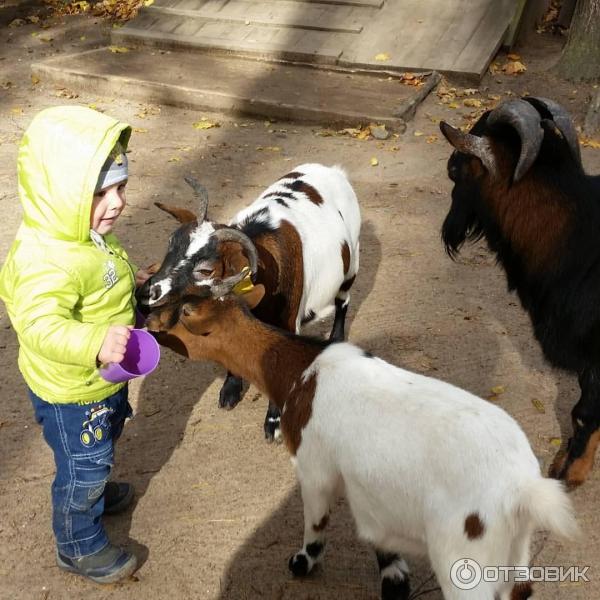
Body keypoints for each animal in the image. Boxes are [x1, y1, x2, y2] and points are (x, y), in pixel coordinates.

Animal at [138, 164, 358, 440]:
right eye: (170, 245)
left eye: (205, 270)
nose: (146, 293)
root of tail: (332, 170)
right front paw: (230, 390)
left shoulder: (288, 323)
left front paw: (274, 422)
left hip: (352, 263)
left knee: (343, 301)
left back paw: (336, 338)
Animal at [145, 276, 576, 600]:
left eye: (181, 313)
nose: (146, 318)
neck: (301, 371)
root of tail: (520, 487)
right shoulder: (371, 497)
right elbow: (388, 558)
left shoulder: (314, 469)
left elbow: (316, 525)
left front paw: (301, 563)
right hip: (513, 553)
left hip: (465, 559)